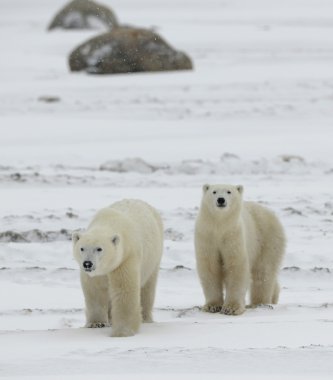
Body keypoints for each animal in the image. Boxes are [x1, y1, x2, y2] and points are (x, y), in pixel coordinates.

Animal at [72, 199, 163, 336]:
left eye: (99, 249)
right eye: (82, 248)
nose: (87, 263)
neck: (109, 222)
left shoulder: (125, 259)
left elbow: (124, 291)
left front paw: (123, 331)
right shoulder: (94, 274)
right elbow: (95, 290)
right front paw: (96, 323)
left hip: (153, 258)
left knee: (148, 288)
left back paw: (146, 318)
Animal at [195, 186, 286, 316]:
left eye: (229, 191)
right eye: (214, 192)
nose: (221, 199)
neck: (220, 225)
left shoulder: (234, 236)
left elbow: (236, 267)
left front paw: (231, 308)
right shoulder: (207, 237)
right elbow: (210, 267)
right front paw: (212, 306)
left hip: (268, 239)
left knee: (263, 271)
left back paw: (259, 303)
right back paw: (273, 298)